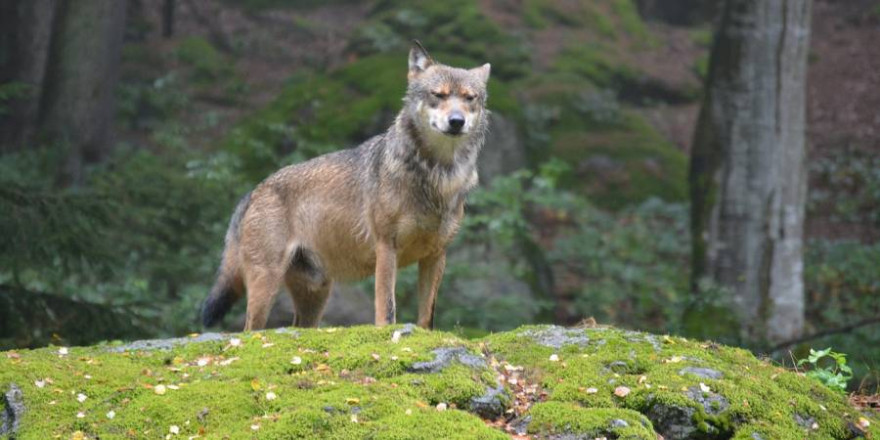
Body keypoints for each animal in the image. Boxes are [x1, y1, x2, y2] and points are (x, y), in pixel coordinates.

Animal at [203, 41, 492, 330]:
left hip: (315, 296)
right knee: (249, 330)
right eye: (438, 95)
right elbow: (387, 308)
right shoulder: (386, 248)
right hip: (266, 286)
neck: (437, 174)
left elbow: (427, 317)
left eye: (469, 98)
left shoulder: (436, 255)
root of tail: (254, 191)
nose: (456, 121)